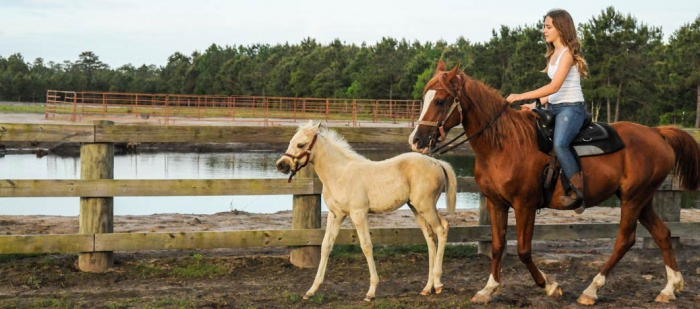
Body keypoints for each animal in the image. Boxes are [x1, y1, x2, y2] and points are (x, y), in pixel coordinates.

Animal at [274, 121, 460, 300]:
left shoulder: (358, 214)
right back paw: (427, 288)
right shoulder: (336, 215)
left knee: (442, 229)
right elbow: (326, 246)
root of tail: (437, 163)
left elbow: (366, 246)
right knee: (430, 238)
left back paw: (438, 283)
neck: (339, 174)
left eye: (300, 144)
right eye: (291, 142)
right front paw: (311, 290)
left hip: (425, 206)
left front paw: (371, 292)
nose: (281, 165)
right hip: (416, 208)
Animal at [408, 59, 696, 304]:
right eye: (424, 99)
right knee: (663, 233)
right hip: (642, 199)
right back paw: (670, 288)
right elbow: (498, 246)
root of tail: (657, 133)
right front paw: (488, 289)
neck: (504, 144)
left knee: (625, 240)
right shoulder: (496, 203)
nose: (416, 140)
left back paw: (591, 290)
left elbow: (523, 250)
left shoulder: (524, 205)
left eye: (441, 100)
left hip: (632, 199)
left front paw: (550, 286)